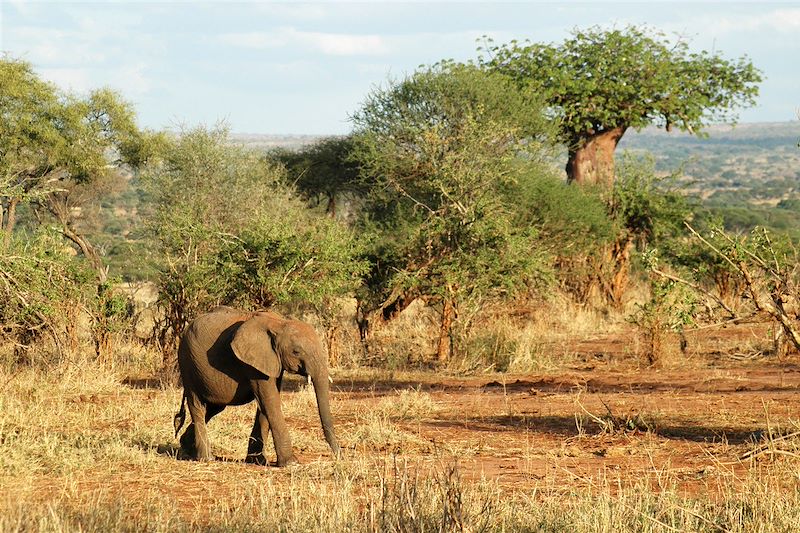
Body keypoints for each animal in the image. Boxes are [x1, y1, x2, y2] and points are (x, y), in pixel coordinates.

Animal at [173, 308, 340, 466]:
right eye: (296, 351)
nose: (339, 455)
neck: (280, 324)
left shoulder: (271, 361)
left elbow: (265, 404)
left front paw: (257, 461)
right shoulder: (252, 362)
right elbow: (270, 401)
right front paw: (291, 463)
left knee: (214, 407)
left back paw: (187, 448)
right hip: (188, 362)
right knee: (197, 405)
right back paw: (205, 458)